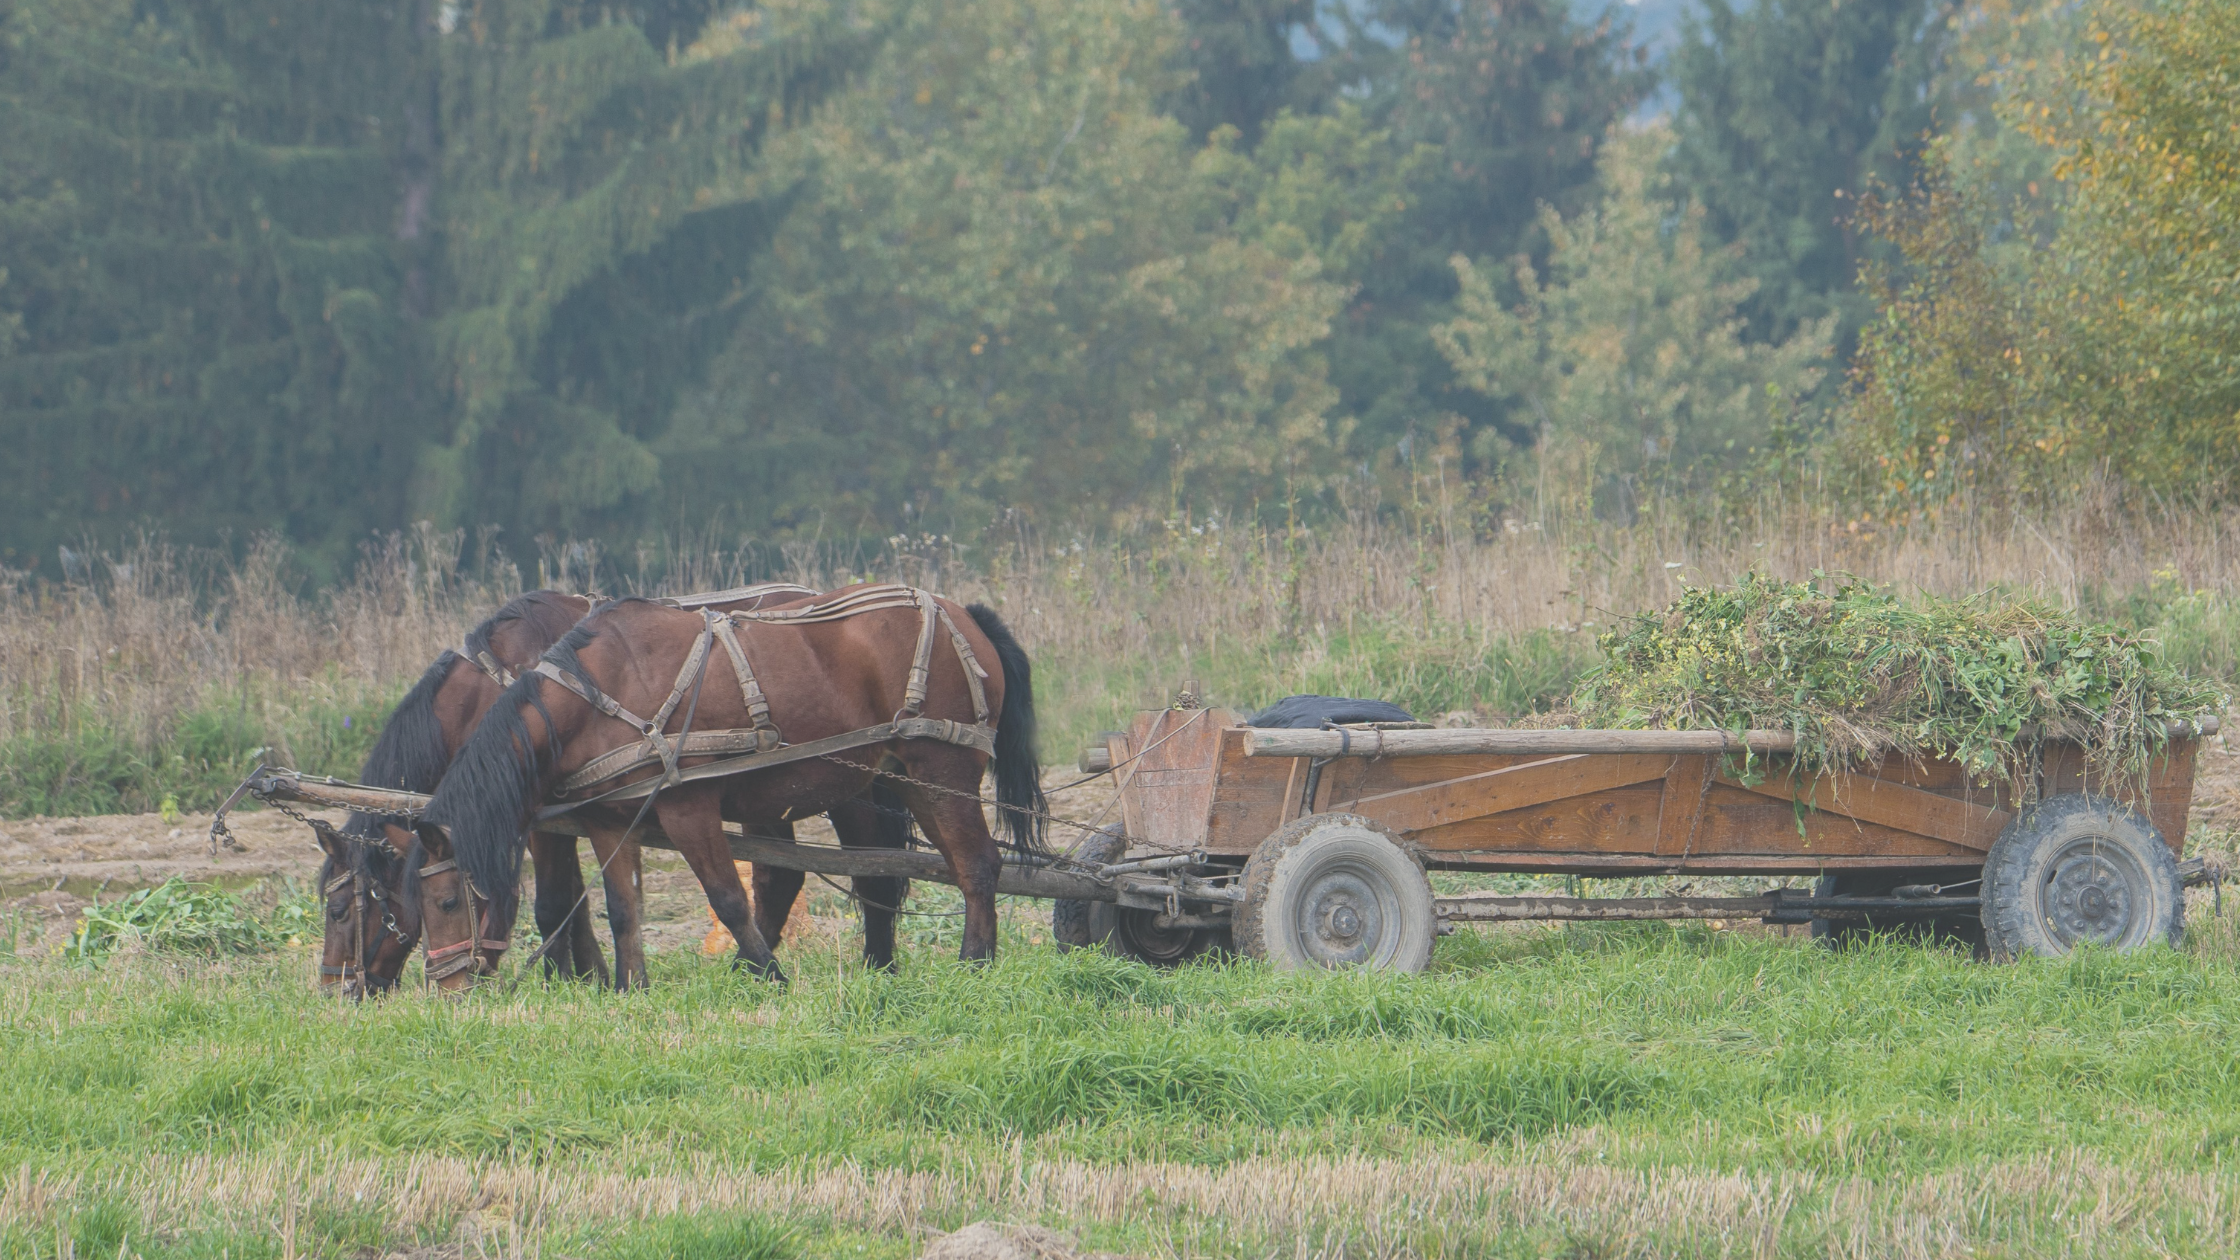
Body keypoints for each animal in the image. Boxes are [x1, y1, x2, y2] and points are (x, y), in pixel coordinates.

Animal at [408, 585, 1043, 988]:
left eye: (446, 900)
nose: (448, 987)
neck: (601, 690)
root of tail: (965, 614)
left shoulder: (687, 809)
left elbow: (729, 898)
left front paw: (769, 975)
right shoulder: (610, 820)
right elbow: (623, 908)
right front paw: (630, 988)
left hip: (943, 769)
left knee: (977, 866)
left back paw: (974, 965)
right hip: (908, 777)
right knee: (935, 868)